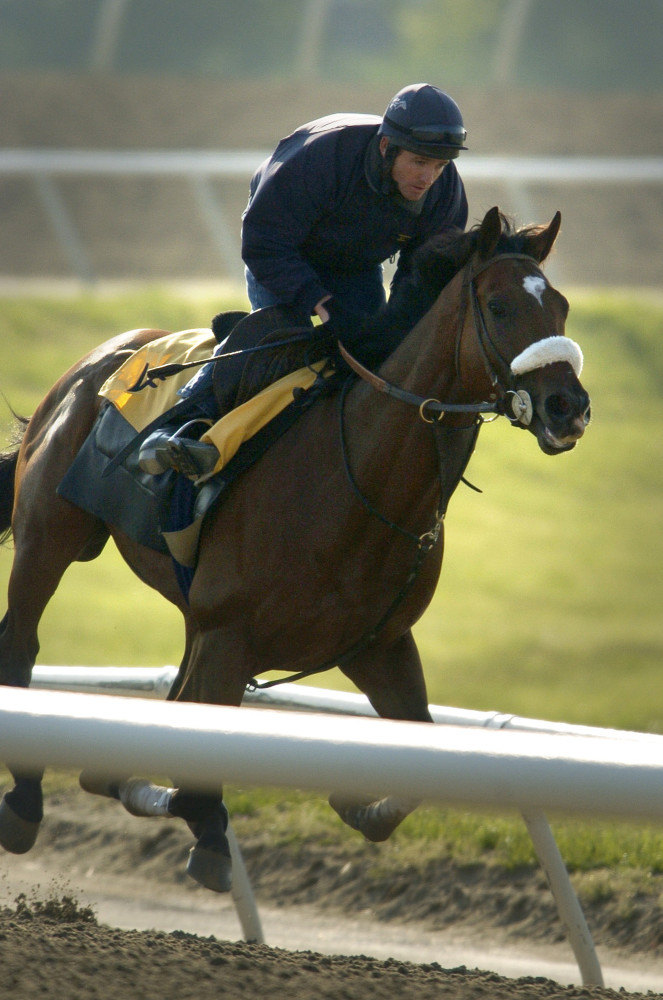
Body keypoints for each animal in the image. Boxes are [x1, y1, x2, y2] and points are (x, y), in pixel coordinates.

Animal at [0, 209, 592, 892]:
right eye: (498, 307)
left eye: (562, 307)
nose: (569, 407)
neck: (354, 481)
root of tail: (100, 357)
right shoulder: (227, 634)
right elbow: (197, 772)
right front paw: (187, 817)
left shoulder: (376, 645)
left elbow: (414, 763)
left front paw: (354, 803)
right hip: (48, 535)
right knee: (21, 641)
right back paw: (24, 803)